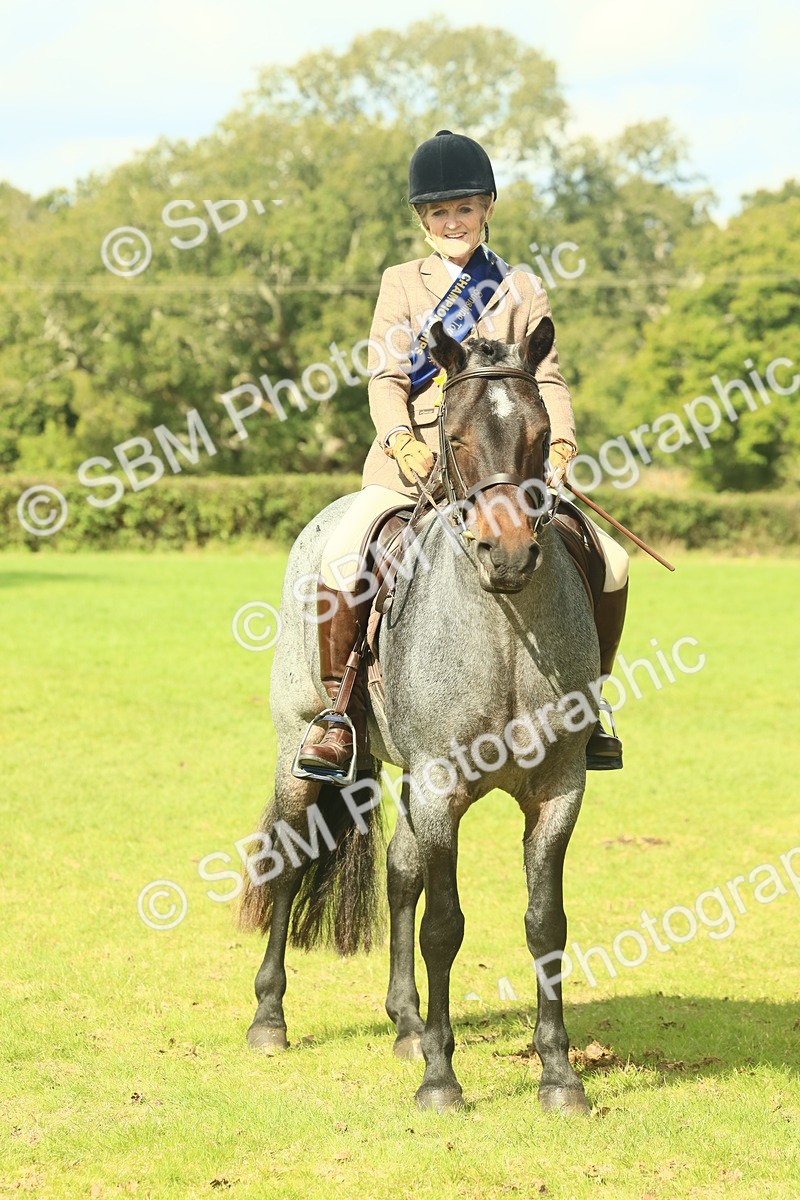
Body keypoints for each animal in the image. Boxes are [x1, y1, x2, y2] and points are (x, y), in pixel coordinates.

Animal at [239, 316, 599, 1115]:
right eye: (454, 438)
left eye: (539, 433)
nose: (510, 554)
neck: (504, 628)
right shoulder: (441, 787)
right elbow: (444, 925)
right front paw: (441, 1080)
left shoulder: (558, 790)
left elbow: (545, 923)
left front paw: (559, 1076)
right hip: (299, 750)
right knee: (290, 864)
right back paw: (270, 1019)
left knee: (400, 872)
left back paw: (406, 1024)